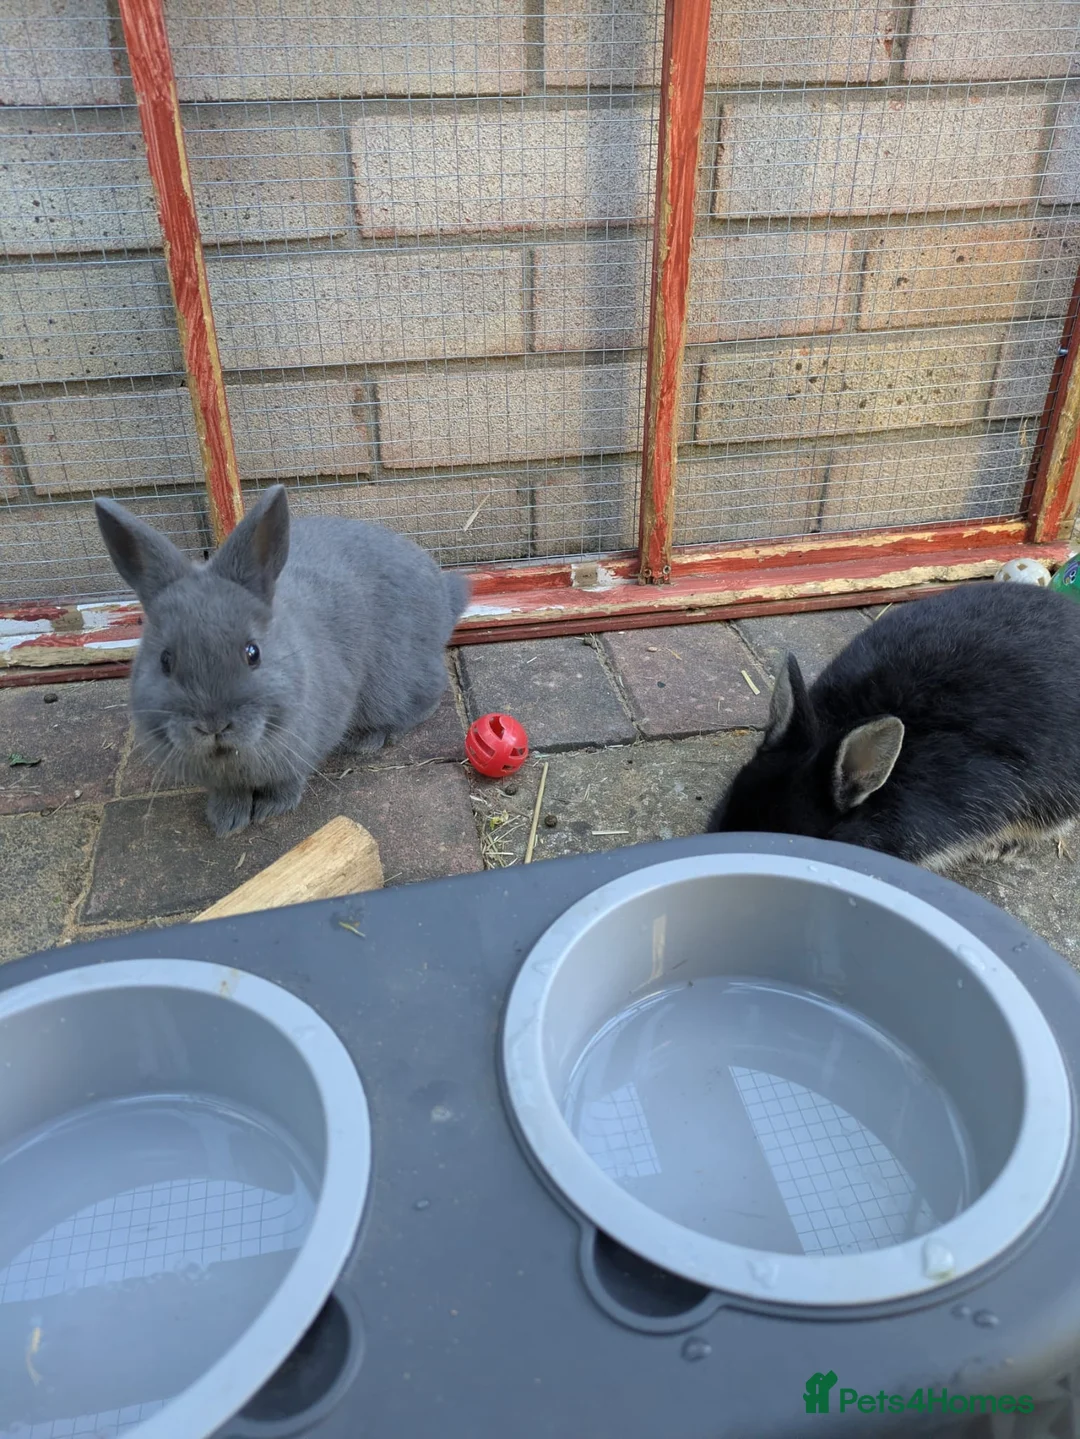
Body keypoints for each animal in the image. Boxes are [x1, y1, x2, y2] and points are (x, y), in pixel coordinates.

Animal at [95, 485, 470, 837]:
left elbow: (286, 781)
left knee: (428, 695)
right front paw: (226, 821)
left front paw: (270, 809)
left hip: (393, 682)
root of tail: (444, 594)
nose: (213, 726)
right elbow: (229, 794)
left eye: (253, 653)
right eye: (165, 660)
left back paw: (369, 740)